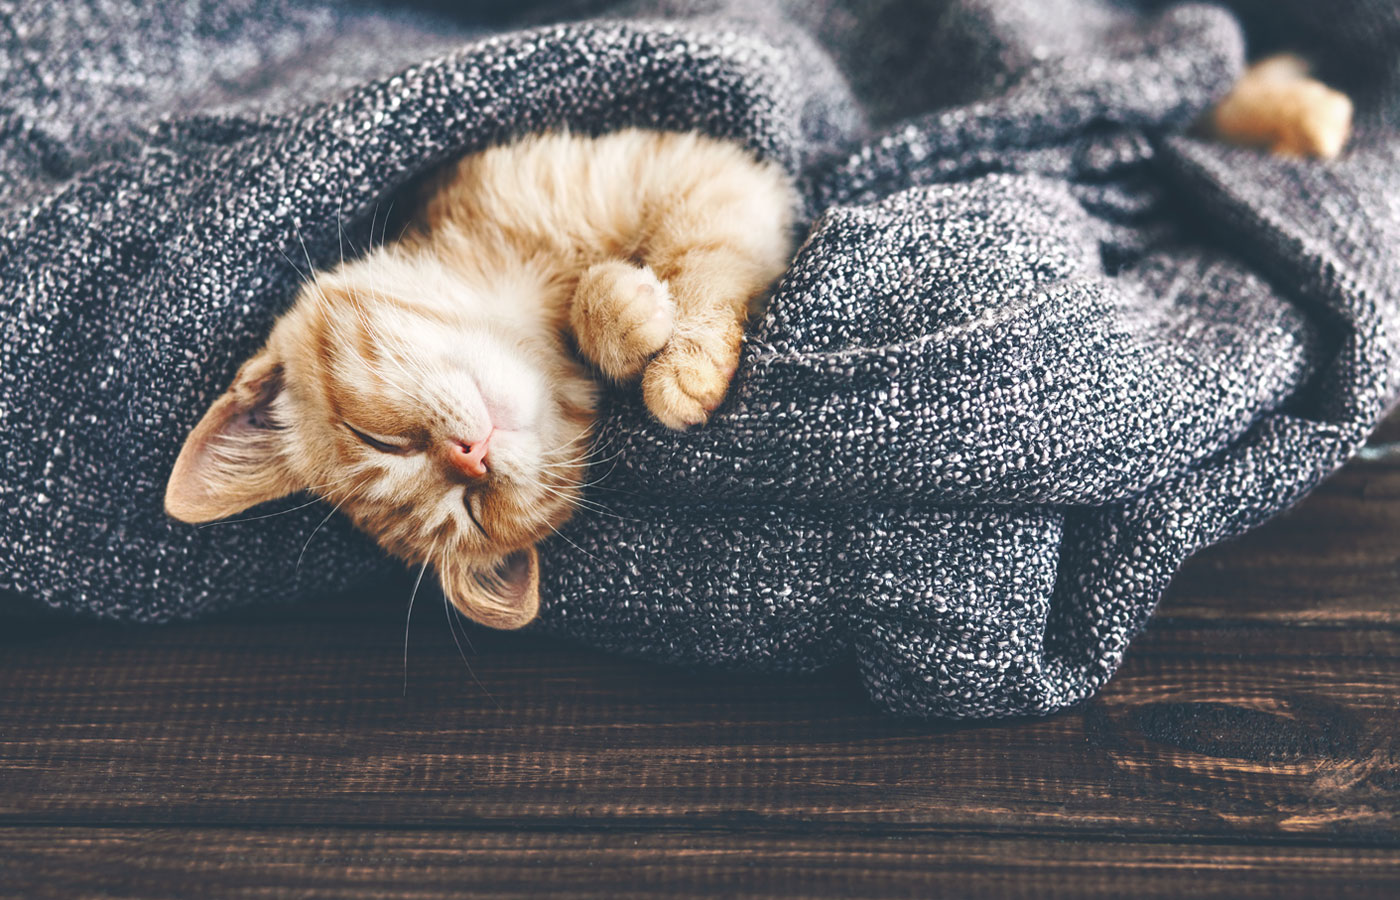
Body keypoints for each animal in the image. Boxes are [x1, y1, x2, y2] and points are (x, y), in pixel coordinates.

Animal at [162, 130, 795, 629]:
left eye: (379, 440)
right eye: (473, 510)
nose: (471, 457)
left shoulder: (697, 175)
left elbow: (705, 250)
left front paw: (681, 360)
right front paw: (624, 315)